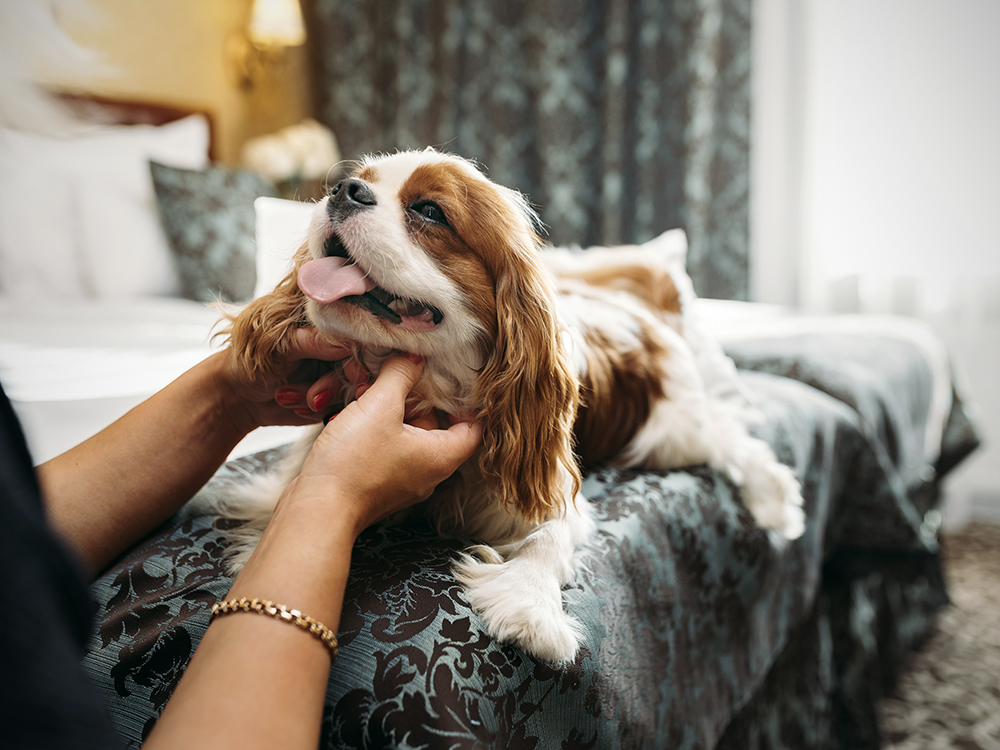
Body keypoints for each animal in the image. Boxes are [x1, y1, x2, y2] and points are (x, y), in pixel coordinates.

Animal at [211, 150, 804, 668]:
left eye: (430, 211)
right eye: (356, 179)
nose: (343, 189)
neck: (432, 385)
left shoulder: (551, 489)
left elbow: (548, 535)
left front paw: (530, 607)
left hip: (672, 432)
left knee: (733, 438)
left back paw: (776, 501)